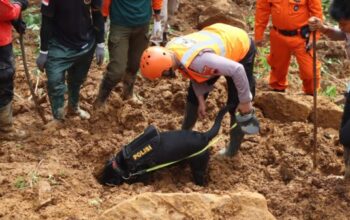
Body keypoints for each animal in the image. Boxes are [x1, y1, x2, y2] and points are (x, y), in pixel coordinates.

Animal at [97, 105, 231, 186]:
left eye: (110, 181)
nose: (100, 181)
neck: (122, 162)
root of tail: (204, 135)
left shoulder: (144, 172)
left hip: (198, 166)